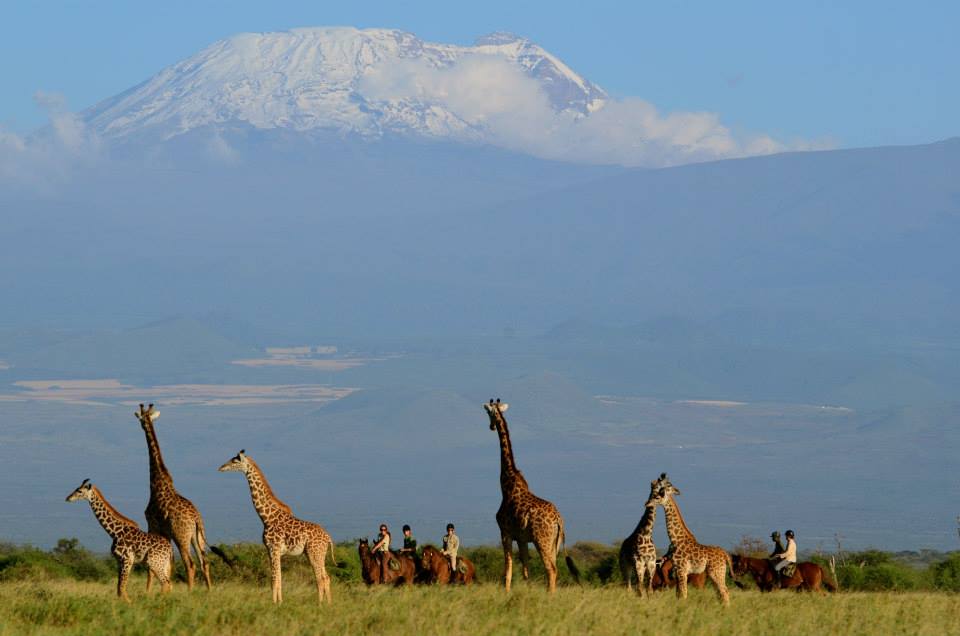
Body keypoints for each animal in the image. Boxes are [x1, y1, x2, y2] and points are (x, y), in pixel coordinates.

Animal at [133, 404, 210, 588]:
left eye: (141, 419)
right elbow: (168, 565)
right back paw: (209, 591)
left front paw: (148, 592)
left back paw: (190, 591)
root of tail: (196, 519)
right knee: (204, 562)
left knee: (191, 564)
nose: (142, 425)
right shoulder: (165, 532)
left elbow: (152, 567)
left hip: (181, 537)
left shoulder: (153, 525)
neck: (157, 481)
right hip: (197, 537)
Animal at [219, 450, 336, 604]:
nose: (221, 467)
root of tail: (328, 538)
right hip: (318, 554)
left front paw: (274, 604)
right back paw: (328, 604)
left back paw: (319, 604)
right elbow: (279, 579)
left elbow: (274, 580)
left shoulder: (273, 548)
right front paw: (280, 602)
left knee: (320, 579)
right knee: (326, 577)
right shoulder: (273, 551)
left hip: (314, 553)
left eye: (235, 461)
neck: (266, 517)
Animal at [484, 398, 572, 592]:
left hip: (542, 540)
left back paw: (549, 596)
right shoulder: (522, 538)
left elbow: (508, 567)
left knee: (551, 569)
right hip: (553, 542)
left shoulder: (505, 532)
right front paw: (527, 590)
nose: (491, 427)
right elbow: (526, 569)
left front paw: (507, 592)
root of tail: (559, 520)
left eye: (488, 412)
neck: (506, 483)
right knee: (554, 568)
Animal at [656, 472, 732, 608]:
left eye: (665, 489)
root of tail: (725, 554)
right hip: (717, 573)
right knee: (721, 592)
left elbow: (684, 593)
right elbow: (678, 594)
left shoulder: (682, 570)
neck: (676, 539)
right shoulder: (677, 571)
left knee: (724, 591)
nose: (653, 499)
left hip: (716, 572)